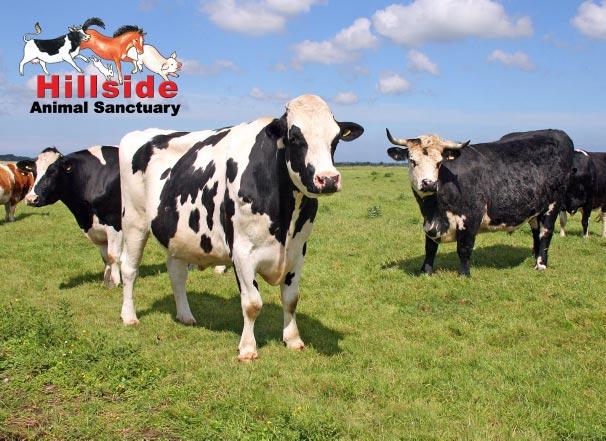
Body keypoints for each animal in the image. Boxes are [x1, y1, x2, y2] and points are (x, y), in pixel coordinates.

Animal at [17, 146, 122, 287]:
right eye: (34, 171)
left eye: (53, 172)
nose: (31, 198)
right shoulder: (98, 229)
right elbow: (105, 258)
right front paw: (106, 282)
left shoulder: (114, 222)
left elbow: (112, 255)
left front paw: (115, 283)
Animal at [119, 94, 364, 360]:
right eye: (296, 138)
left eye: (335, 139)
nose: (328, 179)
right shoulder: (242, 251)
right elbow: (252, 303)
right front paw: (247, 348)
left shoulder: (298, 251)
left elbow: (291, 299)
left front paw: (293, 339)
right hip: (134, 221)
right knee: (129, 268)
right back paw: (129, 316)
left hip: (179, 236)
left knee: (177, 274)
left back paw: (185, 316)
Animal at [386, 129, 574, 276]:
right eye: (412, 161)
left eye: (439, 162)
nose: (429, 184)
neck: (434, 208)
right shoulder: (430, 223)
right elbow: (430, 248)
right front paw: (425, 272)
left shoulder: (470, 217)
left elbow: (464, 248)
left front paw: (464, 275)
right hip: (535, 210)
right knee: (536, 233)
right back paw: (535, 258)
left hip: (552, 205)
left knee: (545, 233)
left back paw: (541, 265)